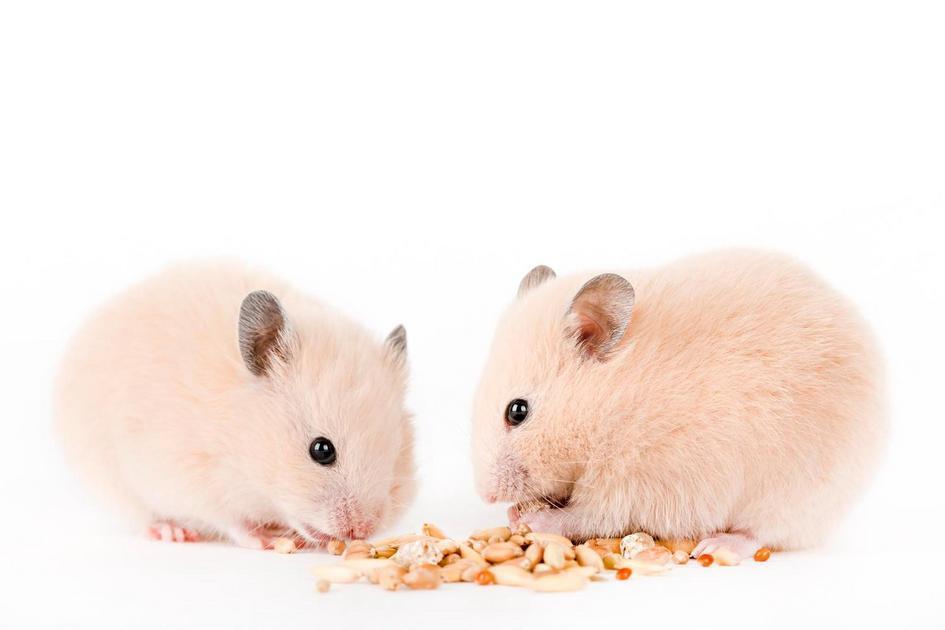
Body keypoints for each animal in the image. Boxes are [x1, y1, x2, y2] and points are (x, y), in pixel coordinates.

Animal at [55, 261, 416, 549]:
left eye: (396, 456)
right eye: (321, 450)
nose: (363, 531)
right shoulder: (192, 476)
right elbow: (229, 520)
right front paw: (266, 540)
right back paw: (172, 531)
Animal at [472, 250, 885, 558]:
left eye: (517, 411)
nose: (485, 495)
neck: (618, 400)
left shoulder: (646, 485)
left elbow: (590, 515)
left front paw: (527, 521)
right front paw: (514, 513)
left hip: (793, 496)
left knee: (760, 534)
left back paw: (716, 546)